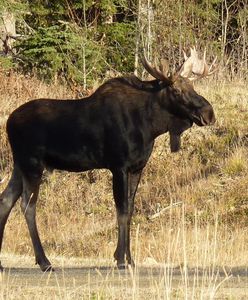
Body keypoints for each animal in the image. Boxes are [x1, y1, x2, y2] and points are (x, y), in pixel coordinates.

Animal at [0, 48, 215, 270]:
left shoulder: (137, 168)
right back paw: (44, 261)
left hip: (19, 165)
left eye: (193, 86)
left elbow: (130, 210)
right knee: (27, 206)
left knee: (5, 200)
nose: (209, 113)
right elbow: (122, 210)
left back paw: (2, 263)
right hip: (32, 164)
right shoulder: (118, 166)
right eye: (177, 91)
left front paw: (130, 259)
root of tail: (8, 122)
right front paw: (120, 259)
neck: (150, 125)